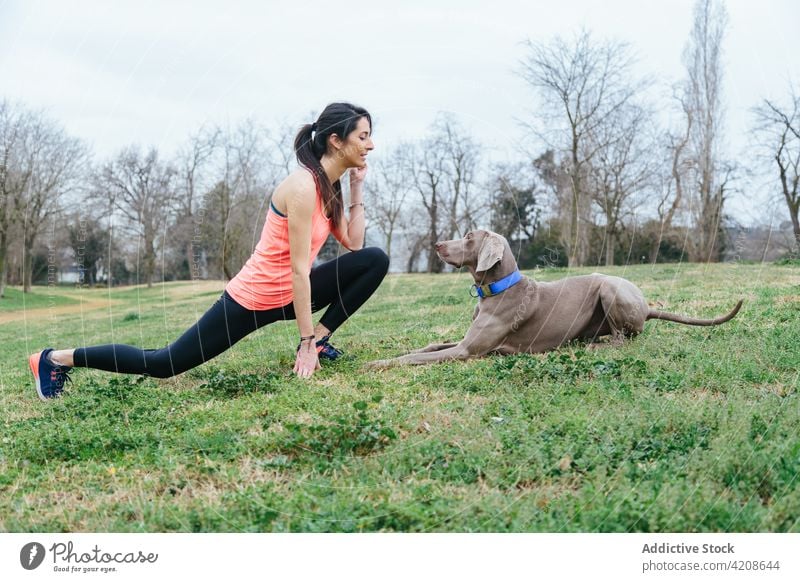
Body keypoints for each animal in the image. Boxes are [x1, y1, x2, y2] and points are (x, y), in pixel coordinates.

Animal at [370, 229, 744, 370]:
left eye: (468, 237)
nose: (436, 245)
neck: (498, 287)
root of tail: (648, 307)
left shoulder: (467, 350)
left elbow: (417, 358)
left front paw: (377, 363)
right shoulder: (463, 341)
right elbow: (428, 347)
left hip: (609, 287)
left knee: (623, 340)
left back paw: (592, 347)